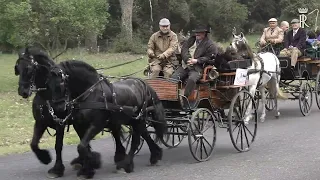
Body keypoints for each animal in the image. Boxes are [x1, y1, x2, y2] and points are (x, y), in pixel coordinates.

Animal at [13, 47, 95, 178]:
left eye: (29, 69)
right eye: (17, 69)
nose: (23, 92)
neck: (47, 97)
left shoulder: (60, 124)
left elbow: (58, 146)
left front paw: (57, 169)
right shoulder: (40, 122)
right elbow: (33, 144)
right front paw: (45, 158)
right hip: (78, 123)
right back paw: (82, 161)